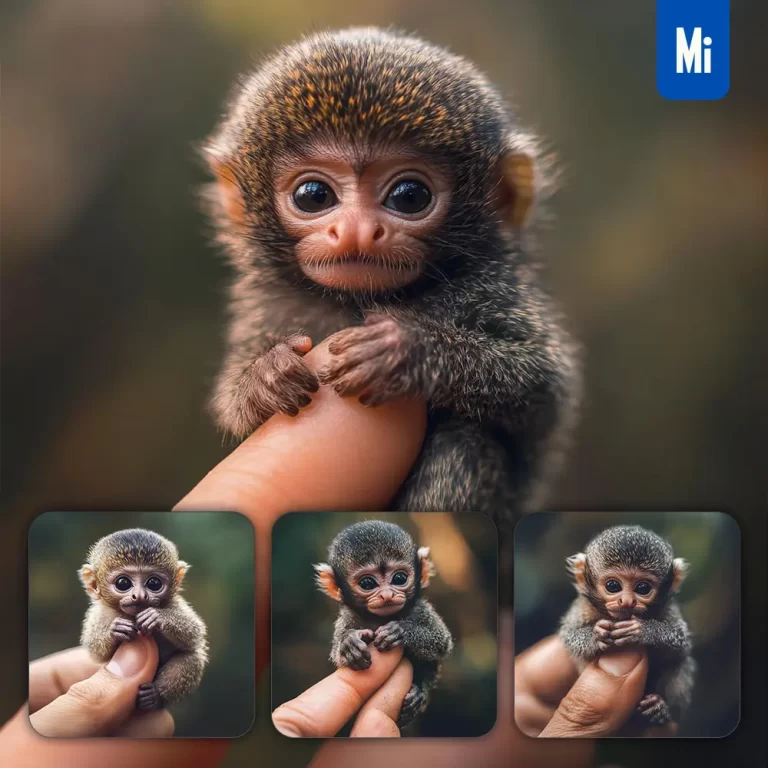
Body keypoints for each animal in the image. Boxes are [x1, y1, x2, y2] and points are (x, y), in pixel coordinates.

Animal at [79, 528, 208, 710]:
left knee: (192, 657)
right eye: (123, 583)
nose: (139, 596)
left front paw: (157, 617)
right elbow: (96, 652)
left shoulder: (174, 603)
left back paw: (154, 696)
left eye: (154, 583)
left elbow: (195, 633)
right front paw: (115, 630)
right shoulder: (100, 614)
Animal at [201, 27, 581, 574]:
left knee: (466, 444)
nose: (357, 231)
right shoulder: (266, 308)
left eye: (409, 196)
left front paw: (404, 352)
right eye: (314, 195)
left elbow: (545, 391)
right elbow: (234, 405)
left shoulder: (498, 288)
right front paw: (263, 378)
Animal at [313, 520, 453, 729]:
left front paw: (400, 632)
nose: (387, 595)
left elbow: (442, 642)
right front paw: (348, 644)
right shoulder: (347, 617)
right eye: (367, 583)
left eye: (399, 578)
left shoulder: (420, 608)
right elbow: (338, 657)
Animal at [559, 525, 696, 730]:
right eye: (613, 585)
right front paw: (596, 636)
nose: (627, 601)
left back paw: (660, 708)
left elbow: (682, 644)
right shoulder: (582, 607)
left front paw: (643, 631)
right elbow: (568, 637)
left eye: (643, 588)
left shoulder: (669, 609)